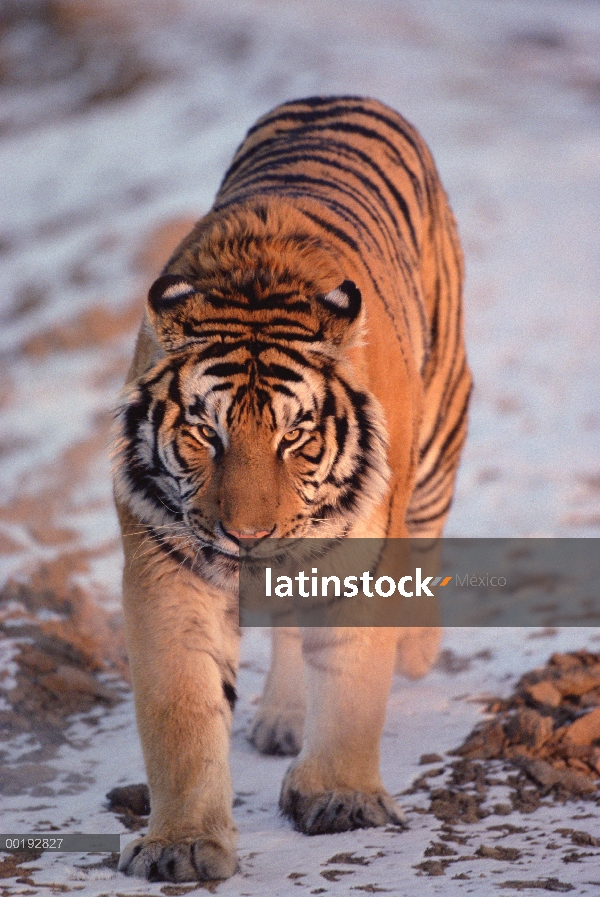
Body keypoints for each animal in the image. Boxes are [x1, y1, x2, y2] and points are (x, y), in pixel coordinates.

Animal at [111, 94, 468, 880]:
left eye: (295, 437)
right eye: (205, 434)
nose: (248, 534)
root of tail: (339, 94)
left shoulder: (360, 550)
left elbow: (353, 673)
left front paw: (340, 797)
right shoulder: (168, 563)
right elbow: (181, 707)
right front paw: (182, 843)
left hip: (439, 433)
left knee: (426, 534)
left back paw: (417, 645)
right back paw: (281, 715)